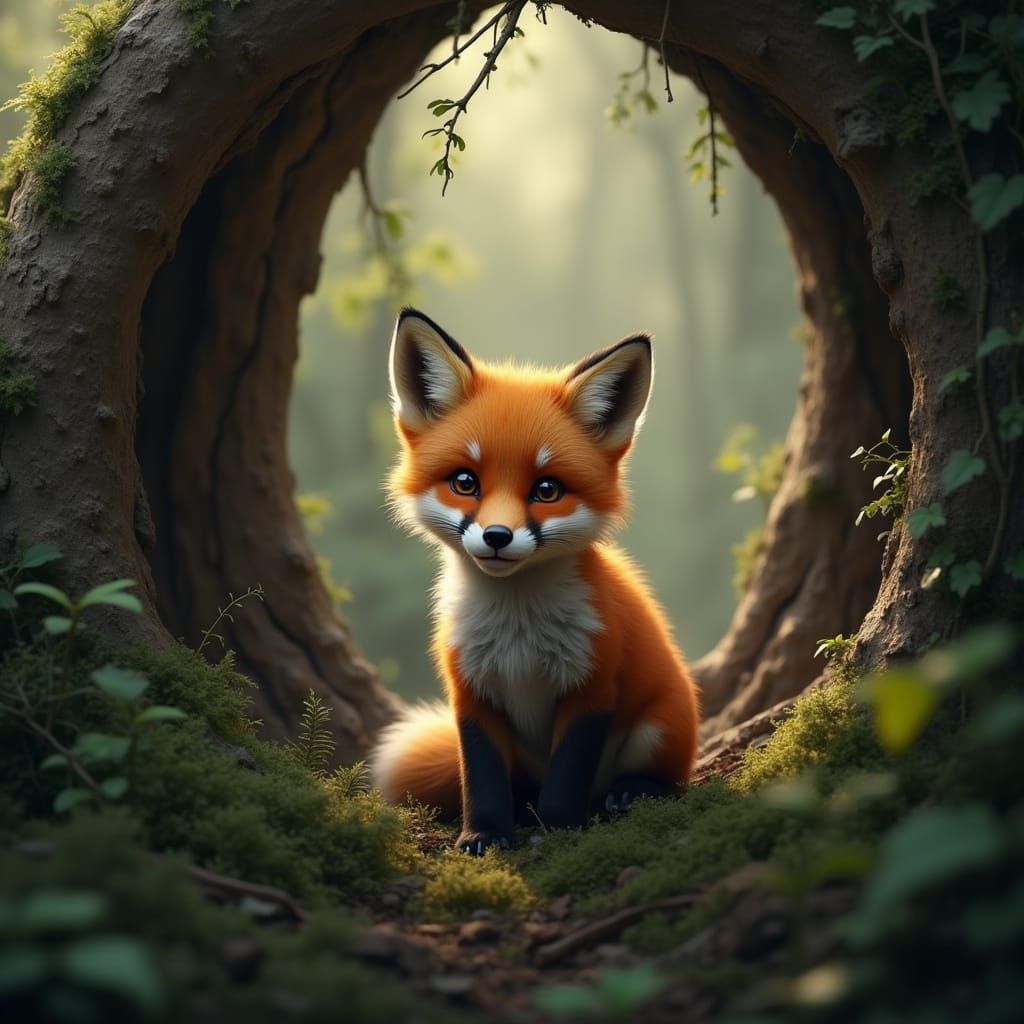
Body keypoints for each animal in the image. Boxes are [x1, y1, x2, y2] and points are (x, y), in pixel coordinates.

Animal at [370, 308, 700, 855]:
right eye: (465, 482)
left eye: (547, 490)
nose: (497, 536)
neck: (517, 633)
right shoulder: (472, 692)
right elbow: (480, 779)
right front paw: (483, 834)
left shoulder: (592, 686)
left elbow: (566, 778)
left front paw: (562, 827)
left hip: (658, 727)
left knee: (666, 779)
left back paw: (631, 792)